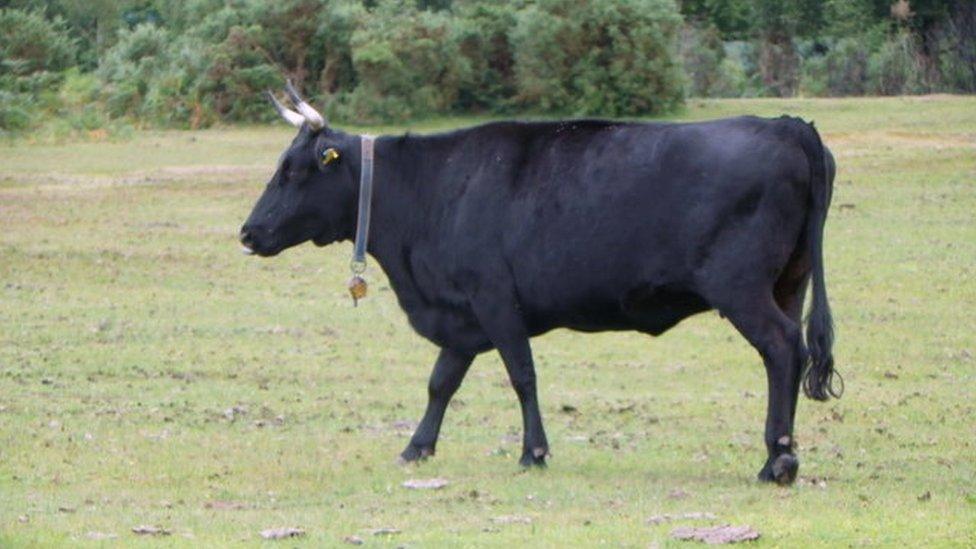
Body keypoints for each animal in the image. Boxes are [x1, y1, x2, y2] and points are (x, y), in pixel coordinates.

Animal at [238, 85, 840, 484]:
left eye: (292, 170)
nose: (247, 232)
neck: (430, 189)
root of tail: (788, 124)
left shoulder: (495, 301)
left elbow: (522, 376)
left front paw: (534, 452)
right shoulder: (463, 316)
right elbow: (440, 383)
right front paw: (416, 447)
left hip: (741, 289)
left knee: (782, 347)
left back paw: (778, 458)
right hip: (788, 284)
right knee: (786, 357)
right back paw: (782, 455)